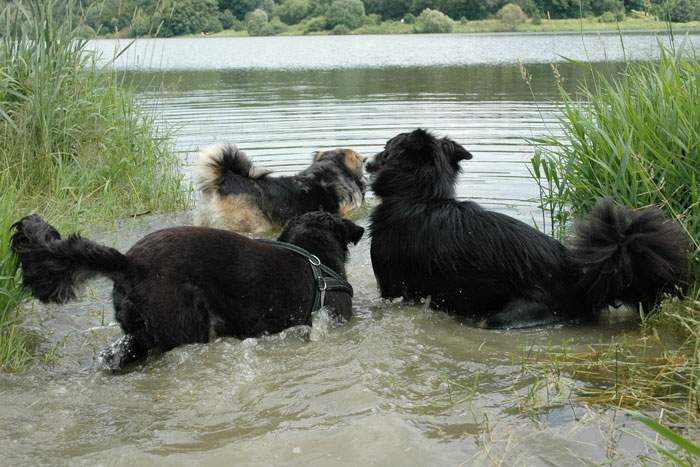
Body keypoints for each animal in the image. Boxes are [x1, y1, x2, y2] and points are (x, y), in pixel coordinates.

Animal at [366, 128, 688, 330]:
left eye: (386, 147)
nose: (367, 159)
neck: (420, 197)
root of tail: (581, 278)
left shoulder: (393, 289)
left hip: (510, 315)